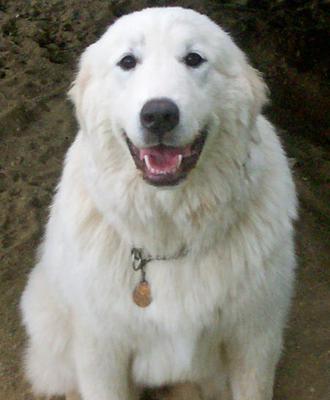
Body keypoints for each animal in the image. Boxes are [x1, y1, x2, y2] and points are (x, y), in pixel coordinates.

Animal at [21, 6, 298, 400]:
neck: (169, 235)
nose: (159, 115)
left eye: (194, 58)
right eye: (128, 61)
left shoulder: (254, 340)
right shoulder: (101, 351)